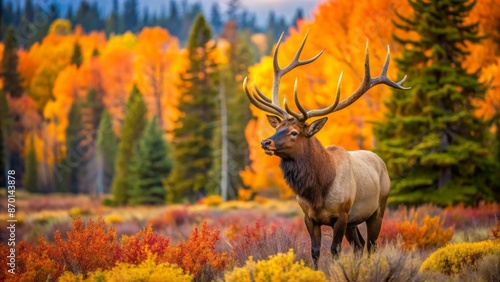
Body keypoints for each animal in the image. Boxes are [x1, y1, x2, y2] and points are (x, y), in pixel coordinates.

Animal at [243, 30, 410, 268]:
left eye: (294, 132)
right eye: (278, 127)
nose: (266, 142)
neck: (318, 190)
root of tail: (380, 161)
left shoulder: (341, 214)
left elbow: (335, 250)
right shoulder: (310, 217)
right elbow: (314, 251)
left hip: (378, 209)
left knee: (371, 245)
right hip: (354, 220)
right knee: (359, 245)